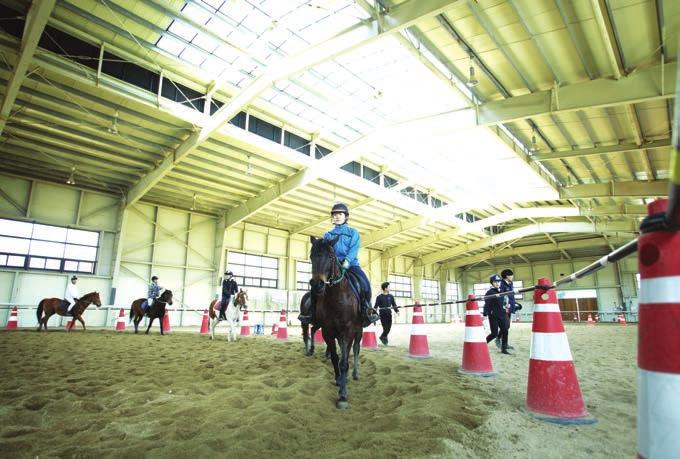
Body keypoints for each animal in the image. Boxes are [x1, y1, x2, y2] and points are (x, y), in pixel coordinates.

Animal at [308, 237, 364, 410]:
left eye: (330, 257)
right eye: (311, 256)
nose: (317, 284)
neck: (336, 296)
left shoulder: (347, 331)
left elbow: (344, 362)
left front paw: (343, 396)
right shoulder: (328, 331)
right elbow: (334, 357)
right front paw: (339, 380)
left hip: (358, 331)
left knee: (356, 349)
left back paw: (355, 374)